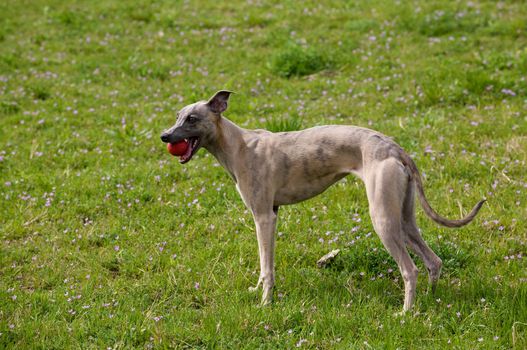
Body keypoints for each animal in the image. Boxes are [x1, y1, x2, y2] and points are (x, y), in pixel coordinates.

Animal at [161, 91, 486, 312]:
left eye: (192, 119)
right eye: (178, 116)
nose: (165, 136)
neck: (238, 145)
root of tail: (395, 147)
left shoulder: (264, 216)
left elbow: (267, 266)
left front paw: (266, 303)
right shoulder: (272, 213)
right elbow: (264, 264)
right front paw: (257, 291)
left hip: (383, 219)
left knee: (411, 269)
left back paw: (405, 313)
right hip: (404, 217)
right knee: (433, 261)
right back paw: (429, 301)